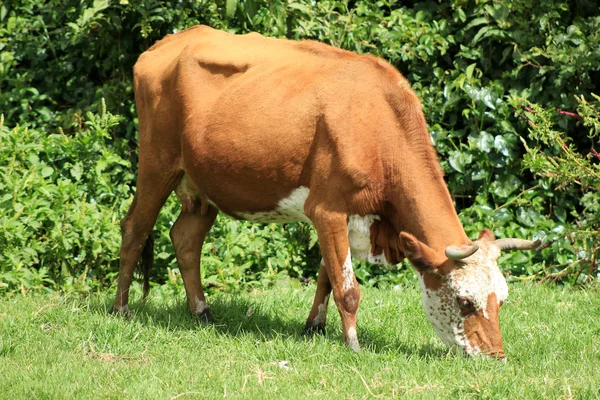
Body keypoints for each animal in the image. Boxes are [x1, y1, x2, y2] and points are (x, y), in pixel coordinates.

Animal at [112, 26, 540, 360]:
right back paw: (120, 309)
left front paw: (314, 327)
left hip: (203, 183)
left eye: (502, 298)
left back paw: (201, 312)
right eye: (465, 301)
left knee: (185, 239)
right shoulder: (328, 208)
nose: (496, 356)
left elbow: (326, 277)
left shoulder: (342, 216)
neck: (378, 125)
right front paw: (353, 345)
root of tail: (168, 42)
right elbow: (347, 288)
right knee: (135, 229)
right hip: (157, 161)